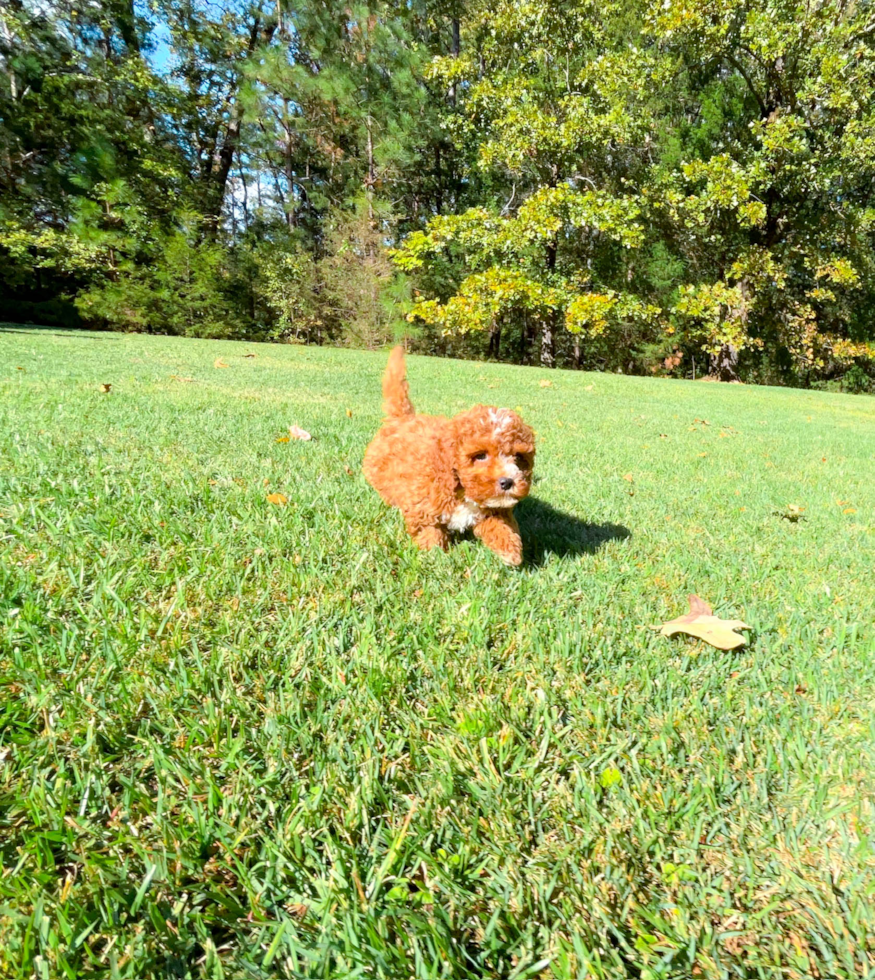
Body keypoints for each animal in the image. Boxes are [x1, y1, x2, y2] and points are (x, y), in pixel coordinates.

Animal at [362, 344, 532, 564]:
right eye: (480, 455)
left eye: (519, 458)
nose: (507, 482)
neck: (460, 487)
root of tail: (402, 418)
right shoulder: (423, 505)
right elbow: (430, 532)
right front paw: (435, 557)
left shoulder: (493, 508)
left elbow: (501, 525)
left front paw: (510, 552)